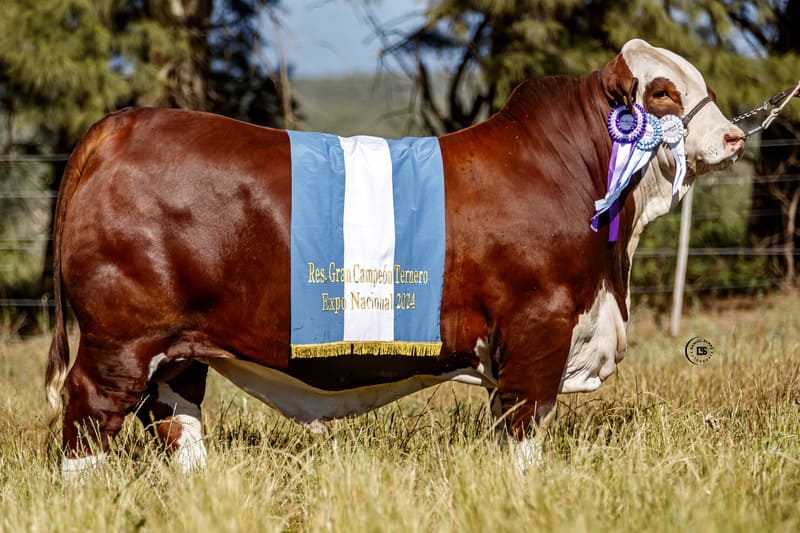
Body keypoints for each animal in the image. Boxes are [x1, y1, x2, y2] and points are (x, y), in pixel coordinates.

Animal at [44, 39, 745, 477]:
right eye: (662, 93)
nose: (735, 136)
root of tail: (120, 126)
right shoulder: (537, 326)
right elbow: (523, 428)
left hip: (177, 344)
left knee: (175, 416)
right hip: (120, 337)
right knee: (89, 415)